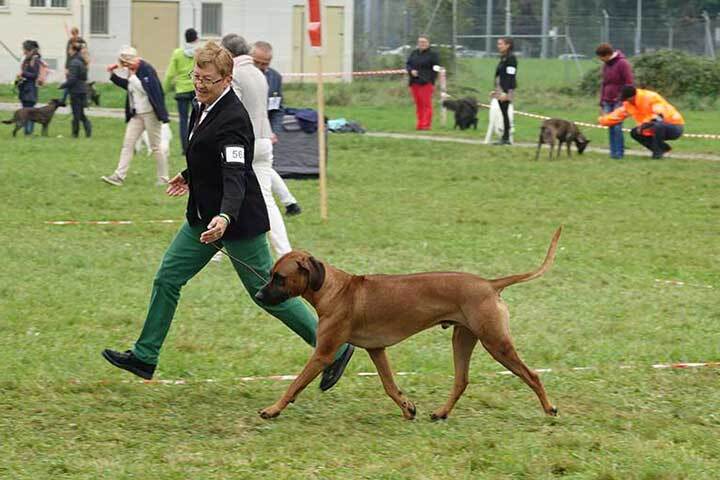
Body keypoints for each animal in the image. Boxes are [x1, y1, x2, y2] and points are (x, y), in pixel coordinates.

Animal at [253, 229, 564, 420]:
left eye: (279, 277)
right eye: (271, 274)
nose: (258, 295)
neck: (336, 289)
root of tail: (489, 284)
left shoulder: (322, 354)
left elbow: (294, 384)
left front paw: (272, 409)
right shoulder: (377, 350)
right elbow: (390, 386)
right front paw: (407, 408)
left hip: (496, 342)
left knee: (532, 375)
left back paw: (549, 408)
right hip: (463, 338)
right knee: (461, 380)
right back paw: (441, 413)